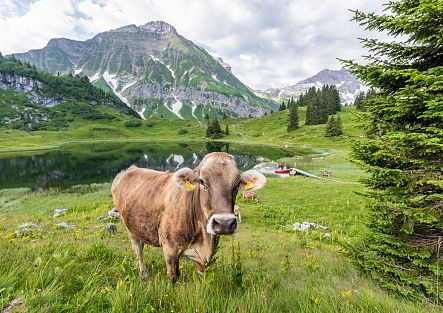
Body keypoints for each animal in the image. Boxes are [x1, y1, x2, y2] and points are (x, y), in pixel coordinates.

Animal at [112, 151, 268, 280]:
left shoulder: (204, 258)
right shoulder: (169, 250)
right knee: (138, 251)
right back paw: (144, 275)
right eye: (202, 181)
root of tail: (129, 169)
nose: (224, 223)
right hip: (129, 228)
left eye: (237, 183)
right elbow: (173, 278)